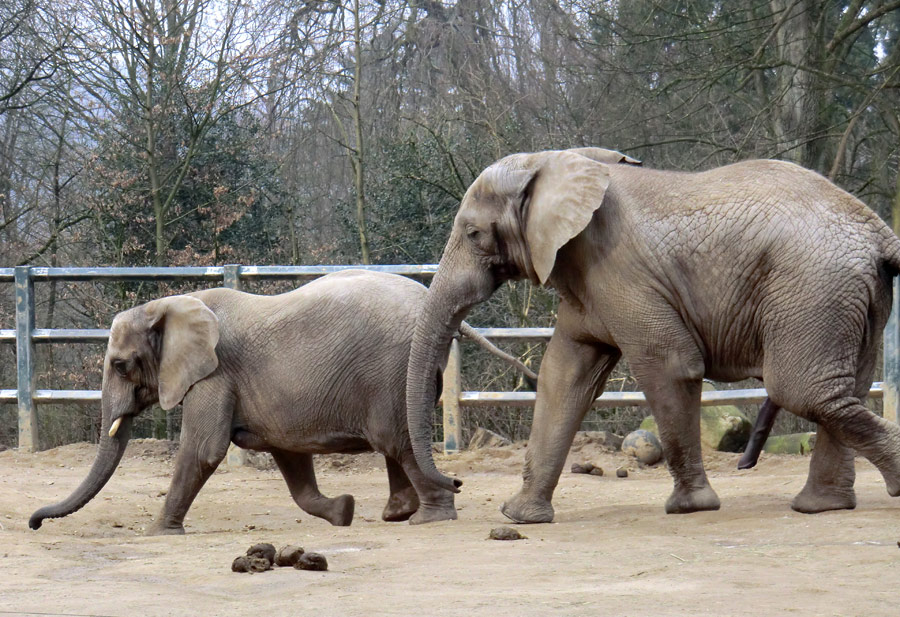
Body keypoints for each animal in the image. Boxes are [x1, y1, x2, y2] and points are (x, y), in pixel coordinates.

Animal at [29, 270, 536, 536]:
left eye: (119, 365)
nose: (34, 524)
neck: (171, 304)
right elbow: (290, 459)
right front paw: (342, 512)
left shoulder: (214, 374)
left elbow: (203, 450)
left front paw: (158, 532)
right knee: (397, 441)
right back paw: (397, 513)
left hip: (392, 368)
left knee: (399, 439)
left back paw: (430, 518)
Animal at [408, 147, 900, 524]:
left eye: (474, 233)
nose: (457, 481)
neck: (553, 161)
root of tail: (878, 229)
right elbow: (563, 378)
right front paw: (520, 517)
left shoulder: (618, 269)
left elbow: (669, 364)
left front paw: (689, 508)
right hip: (849, 293)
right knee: (841, 390)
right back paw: (821, 507)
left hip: (814, 287)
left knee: (800, 389)